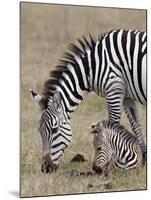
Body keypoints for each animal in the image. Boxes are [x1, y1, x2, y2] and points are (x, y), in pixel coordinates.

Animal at [30, 28, 146, 173]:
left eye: (54, 129)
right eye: (39, 131)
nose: (46, 168)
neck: (93, 68)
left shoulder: (113, 90)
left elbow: (113, 124)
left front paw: (112, 163)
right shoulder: (126, 96)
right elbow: (136, 125)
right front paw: (143, 159)